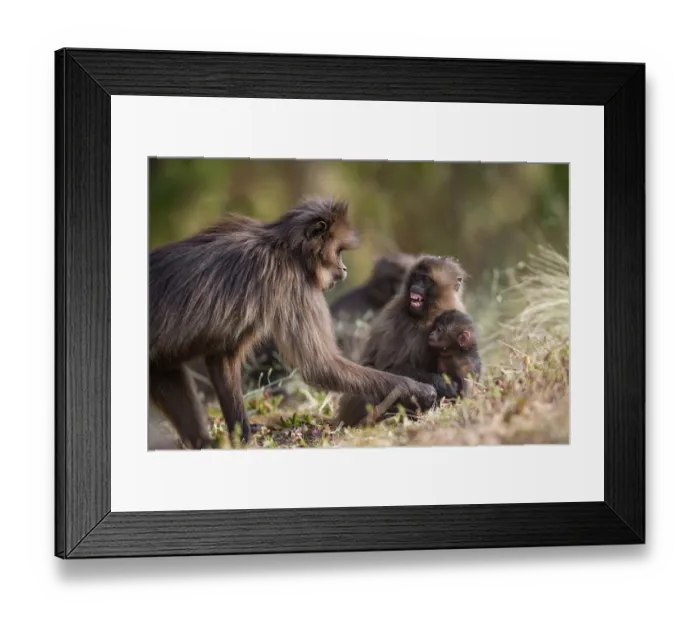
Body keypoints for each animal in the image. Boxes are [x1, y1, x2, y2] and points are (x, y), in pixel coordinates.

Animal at [149, 198, 437, 448]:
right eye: (338, 252)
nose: (344, 269)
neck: (283, 246)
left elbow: (222, 359)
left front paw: (242, 435)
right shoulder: (293, 283)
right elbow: (321, 366)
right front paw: (414, 388)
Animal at [334, 254, 467, 427]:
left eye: (425, 279)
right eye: (416, 277)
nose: (415, 287)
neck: (430, 313)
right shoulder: (399, 318)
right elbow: (388, 368)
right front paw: (440, 385)